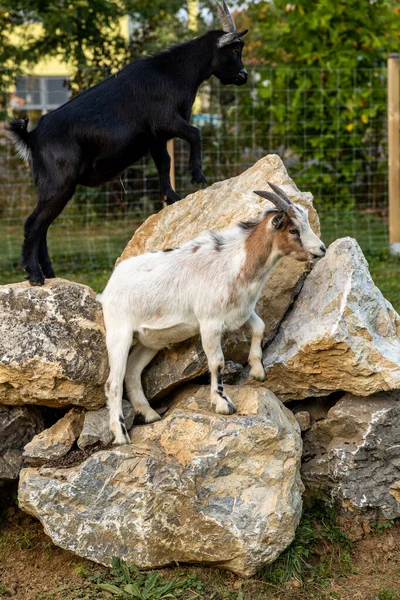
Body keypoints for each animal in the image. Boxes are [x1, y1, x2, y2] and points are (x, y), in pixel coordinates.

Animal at [6, 1, 248, 286]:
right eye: (234, 50)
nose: (244, 75)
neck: (174, 72)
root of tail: (31, 137)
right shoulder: (166, 121)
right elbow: (196, 134)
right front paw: (198, 176)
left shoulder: (156, 137)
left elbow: (164, 163)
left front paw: (172, 197)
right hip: (59, 183)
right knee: (33, 224)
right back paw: (34, 275)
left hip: (50, 185)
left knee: (43, 226)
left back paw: (50, 273)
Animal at [99, 183, 324, 446]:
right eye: (293, 229)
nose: (321, 249)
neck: (234, 262)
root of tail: (108, 288)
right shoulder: (209, 323)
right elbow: (217, 362)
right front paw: (223, 403)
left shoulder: (241, 310)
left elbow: (259, 327)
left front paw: (258, 371)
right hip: (119, 333)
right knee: (113, 383)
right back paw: (121, 435)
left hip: (149, 340)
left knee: (133, 372)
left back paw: (150, 414)